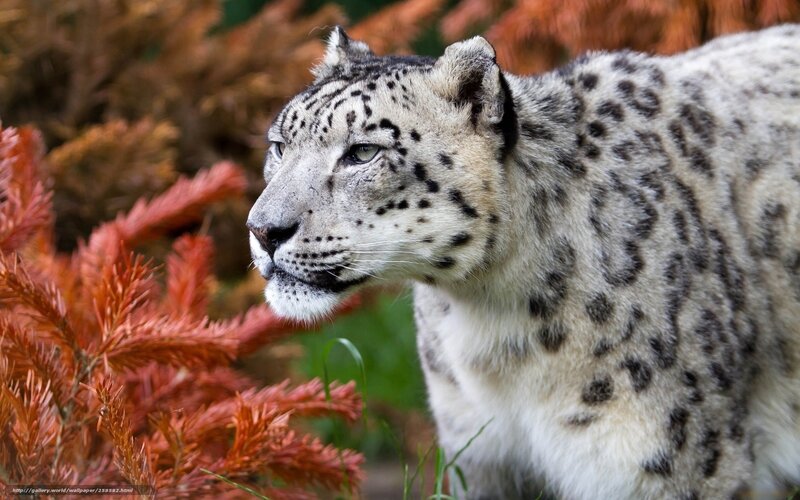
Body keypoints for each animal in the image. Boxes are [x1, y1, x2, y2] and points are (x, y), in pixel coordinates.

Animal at [247, 24, 800, 499]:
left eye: (363, 153)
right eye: (279, 145)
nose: (263, 230)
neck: (496, 328)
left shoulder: (672, 462)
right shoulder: (481, 454)